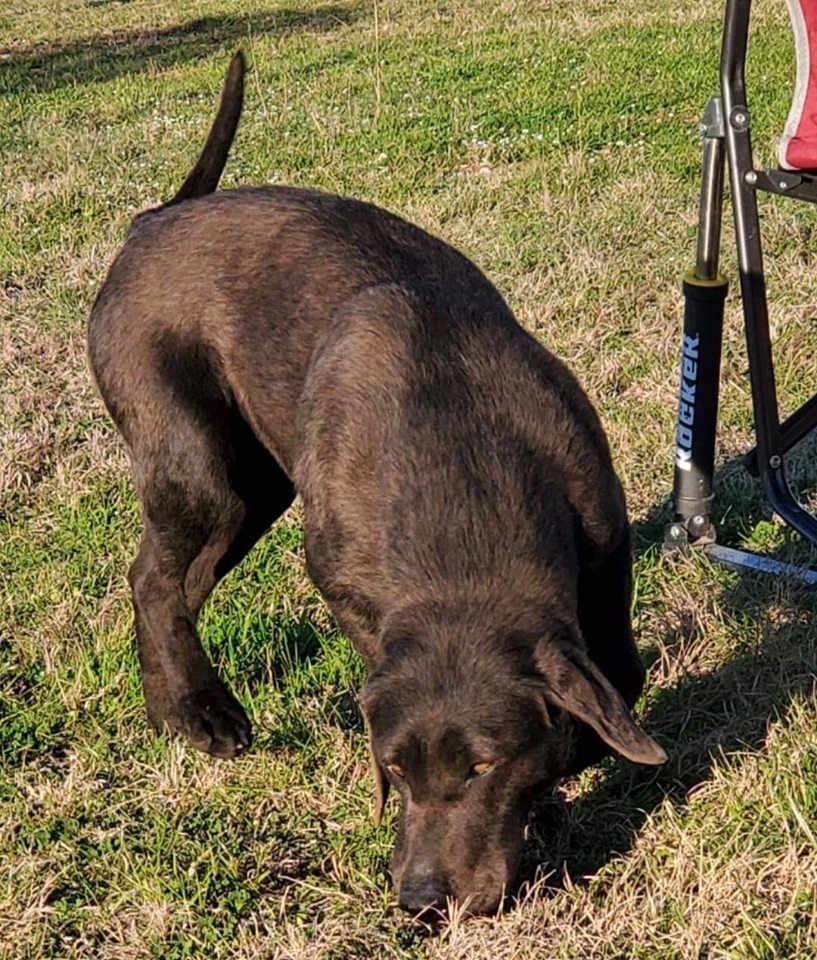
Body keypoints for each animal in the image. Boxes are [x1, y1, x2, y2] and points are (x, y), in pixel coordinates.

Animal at [87, 54, 664, 916]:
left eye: (484, 765)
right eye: (392, 767)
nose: (421, 897)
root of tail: (151, 221)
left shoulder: (602, 549)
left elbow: (615, 684)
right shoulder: (348, 587)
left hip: (253, 488)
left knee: (165, 583)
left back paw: (173, 708)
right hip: (201, 468)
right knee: (154, 580)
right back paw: (202, 710)